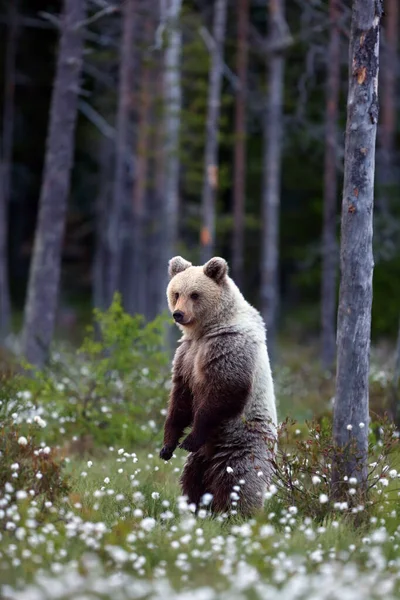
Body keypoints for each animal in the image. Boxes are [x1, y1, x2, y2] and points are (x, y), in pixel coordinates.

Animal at [159, 254, 278, 516]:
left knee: (239, 482)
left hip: (242, 445)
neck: (205, 330)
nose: (178, 314)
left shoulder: (228, 348)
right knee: (193, 480)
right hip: (200, 460)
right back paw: (197, 508)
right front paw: (167, 446)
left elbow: (223, 392)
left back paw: (238, 513)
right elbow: (180, 398)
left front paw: (189, 439)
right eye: (176, 293)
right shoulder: (186, 355)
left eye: (195, 294)